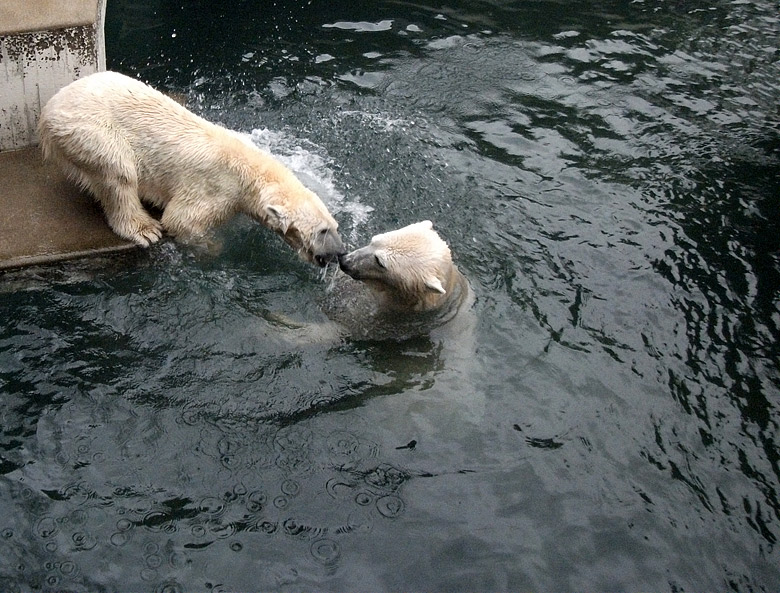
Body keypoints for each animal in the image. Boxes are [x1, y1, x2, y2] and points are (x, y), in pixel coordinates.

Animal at [38, 69, 344, 264]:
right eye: (321, 231)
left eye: (334, 226)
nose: (339, 253)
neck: (251, 170)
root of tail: (49, 108)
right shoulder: (216, 188)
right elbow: (181, 220)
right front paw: (215, 248)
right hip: (90, 128)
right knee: (119, 173)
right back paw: (144, 229)